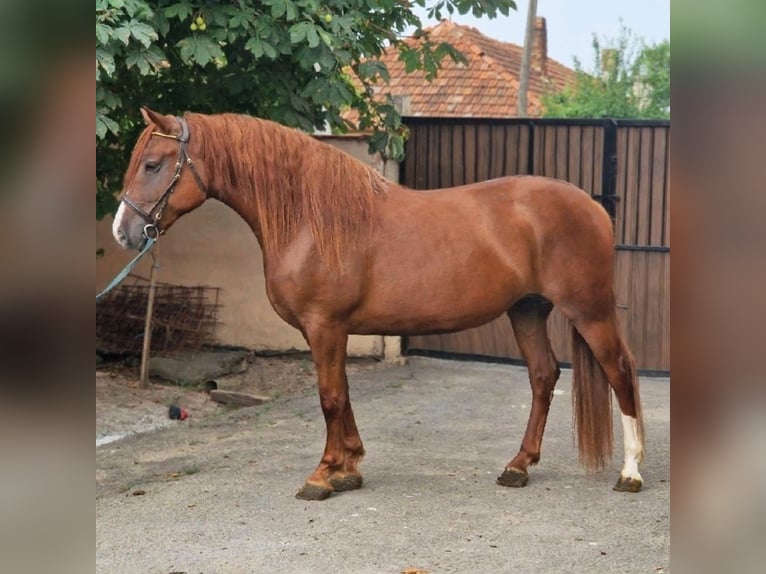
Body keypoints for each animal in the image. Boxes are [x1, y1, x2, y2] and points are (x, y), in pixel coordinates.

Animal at [111, 107, 644, 500]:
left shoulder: (324, 325)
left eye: (153, 164)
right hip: (527, 310)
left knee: (620, 372)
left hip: (589, 311)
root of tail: (594, 207)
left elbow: (329, 396)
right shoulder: (331, 330)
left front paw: (323, 475)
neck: (311, 218)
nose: (123, 231)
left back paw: (631, 473)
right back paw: (518, 466)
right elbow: (342, 393)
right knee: (543, 377)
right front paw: (349, 468)